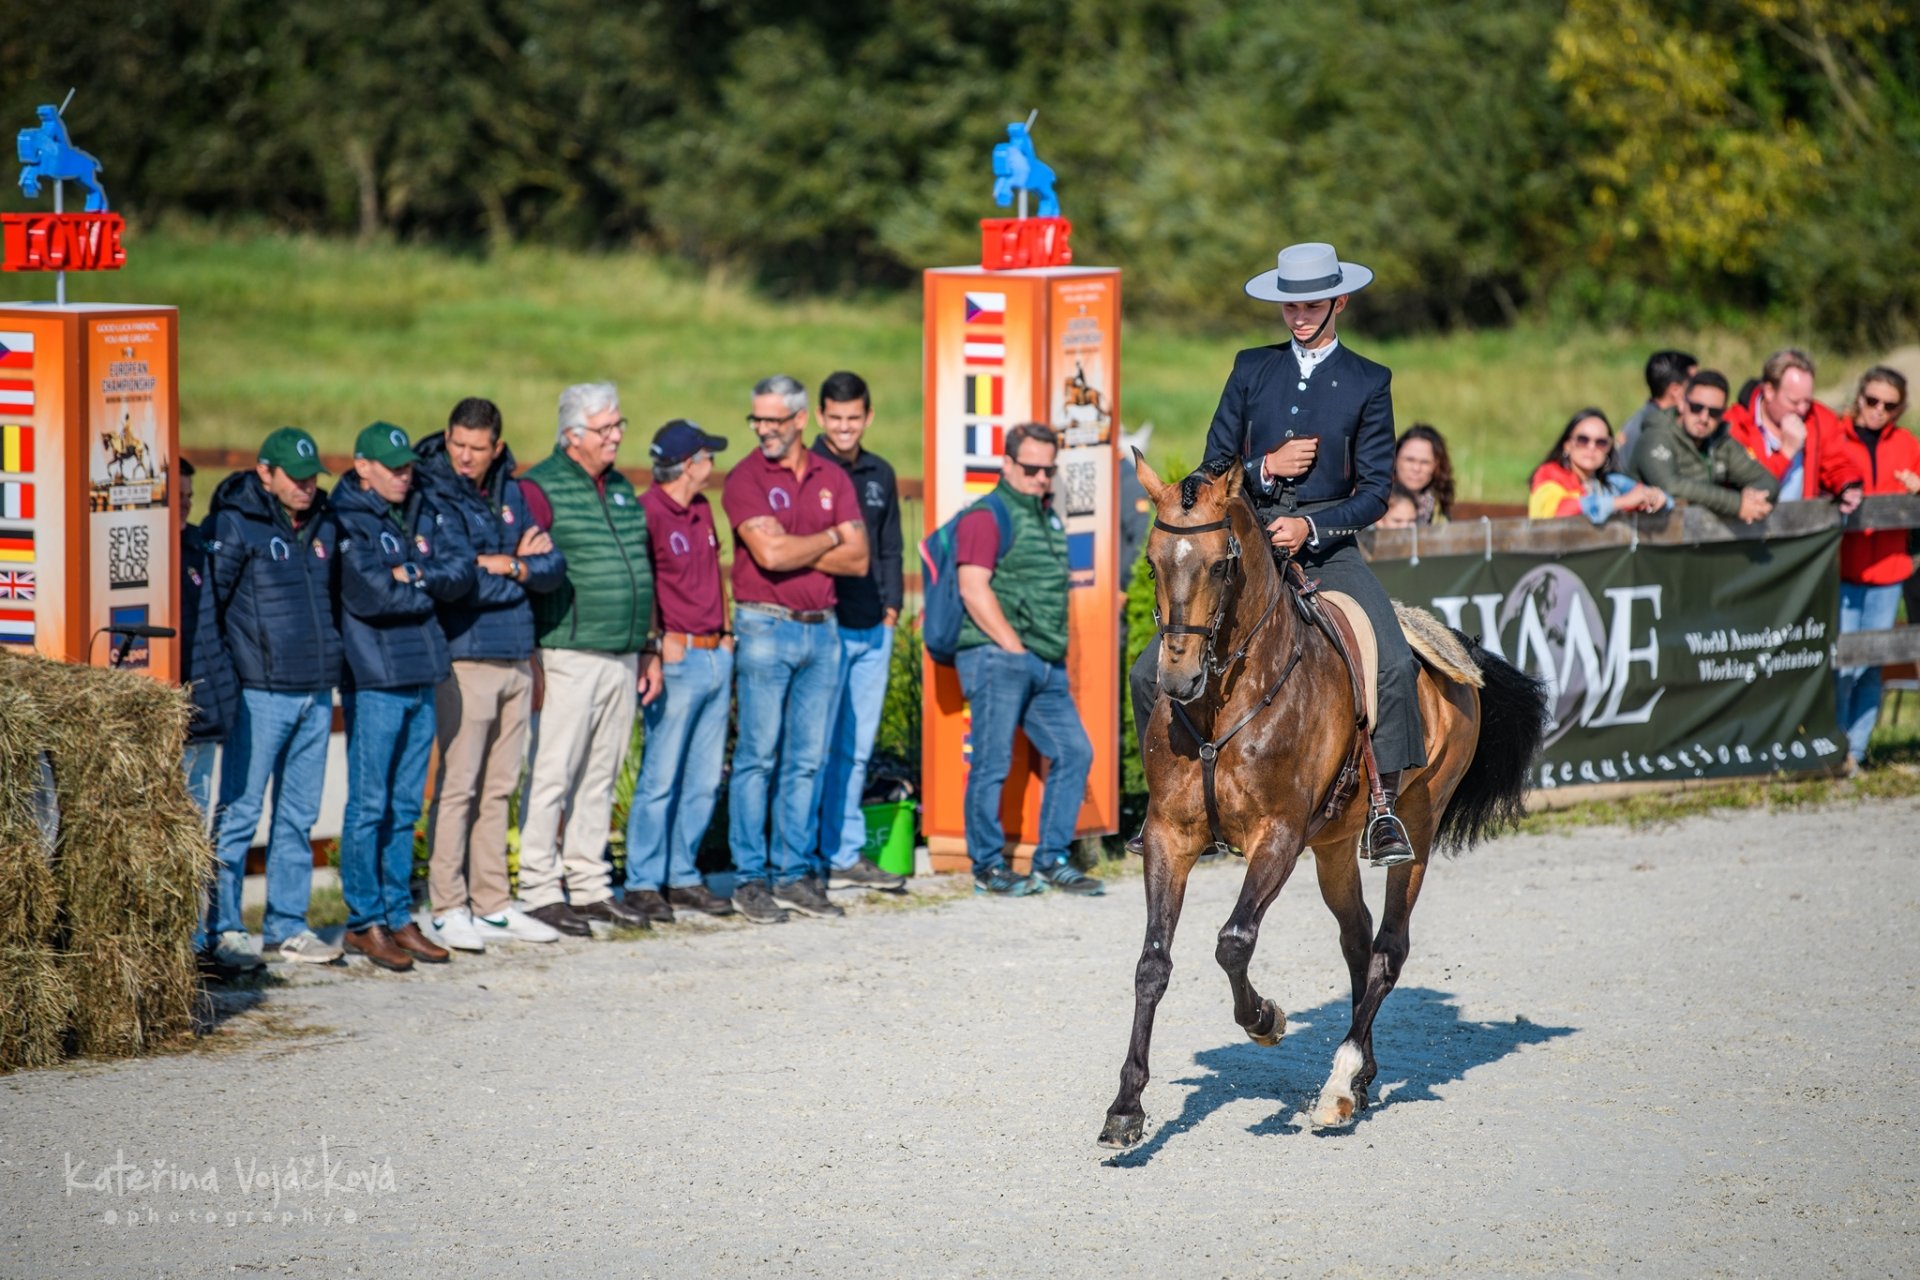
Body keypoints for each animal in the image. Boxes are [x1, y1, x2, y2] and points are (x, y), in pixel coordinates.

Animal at [1098, 454, 1543, 1143]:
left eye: (1221, 566)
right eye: (1151, 562)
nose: (1179, 678)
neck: (1226, 697)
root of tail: (1452, 645)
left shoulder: (1277, 837)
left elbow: (1233, 942)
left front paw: (1265, 1020)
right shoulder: (1171, 836)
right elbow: (1152, 963)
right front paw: (1126, 1106)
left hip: (1417, 824)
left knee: (1388, 950)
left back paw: (1338, 1085)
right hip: (1333, 845)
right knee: (1357, 942)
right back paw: (1359, 1077)